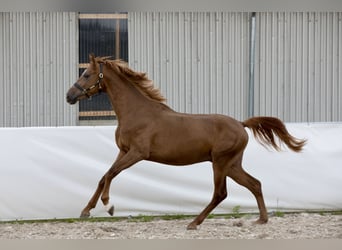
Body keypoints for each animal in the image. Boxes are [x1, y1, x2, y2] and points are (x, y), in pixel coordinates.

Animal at [65, 55, 306, 230]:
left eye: (86, 74)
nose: (69, 96)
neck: (136, 112)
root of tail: (241, 124)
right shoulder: (123, 151)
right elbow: (104, 176)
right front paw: (86, 211)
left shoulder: (137, 153)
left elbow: (111, 174)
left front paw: (109, 206)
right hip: (232, 165)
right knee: (255, 184)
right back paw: (261, 219)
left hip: (220, 163)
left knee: (221, 193)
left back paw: (194, 223)